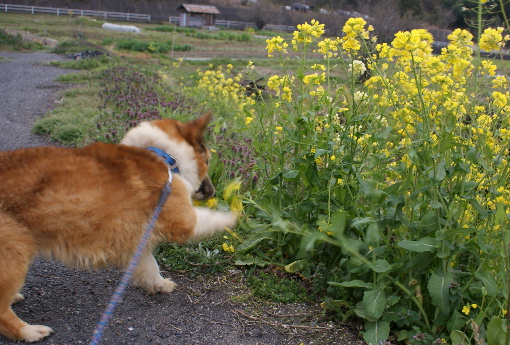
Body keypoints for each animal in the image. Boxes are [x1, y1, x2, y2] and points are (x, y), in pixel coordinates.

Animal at [0, 113, 237, 342]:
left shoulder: (138, 240)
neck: (165, 156)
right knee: (3, 313)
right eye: (207, 160)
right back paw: (29, 332)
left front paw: (160, 285)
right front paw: (233, 217)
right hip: (14, 256)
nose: (213, 193)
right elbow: (211, 219)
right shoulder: (182, 220)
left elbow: (150, 267)